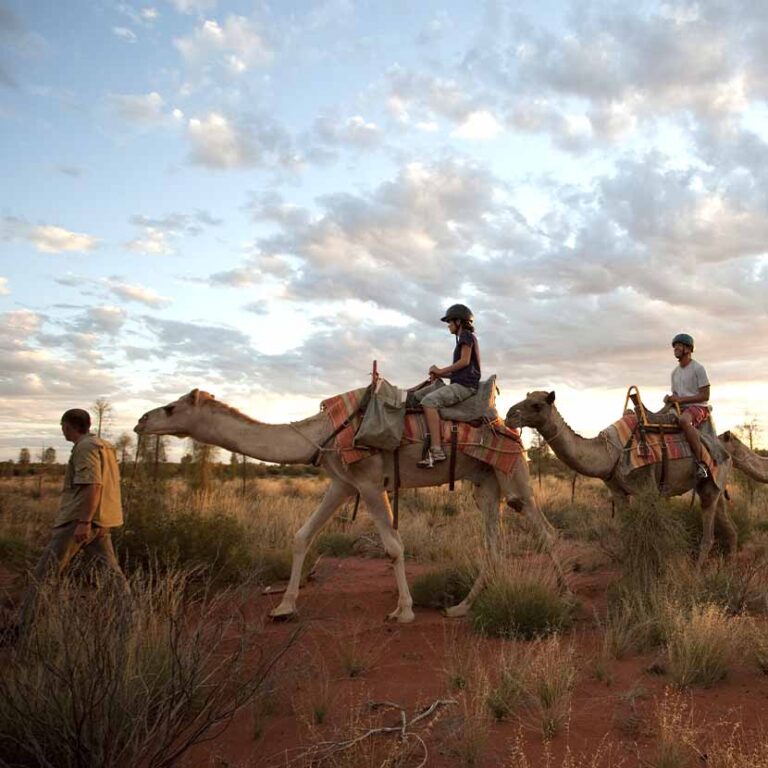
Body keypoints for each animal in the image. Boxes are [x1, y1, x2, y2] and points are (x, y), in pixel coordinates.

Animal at [135, 390, 560, 624]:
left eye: (170, 408)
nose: (140, 420)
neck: (323, 432)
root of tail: (508, 427)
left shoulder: (369, 482)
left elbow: (393, 547)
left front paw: (403, 611)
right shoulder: (342, 483)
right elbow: (302, 536)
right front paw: (283, 607)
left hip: (514, 474)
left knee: (546, 531)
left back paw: (558, 598)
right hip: (485, 483)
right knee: (494, 546)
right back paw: (461, 608)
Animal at [504, 392, 736, 568]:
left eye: (536, 405)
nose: (509, 415)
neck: (609, 453)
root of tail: (724, 450)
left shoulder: (648, 489)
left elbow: (653, 531)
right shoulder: (617, 491)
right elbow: (627, 532)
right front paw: (629, 563)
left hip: (712, 481)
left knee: (708, 533)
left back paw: (697, 571)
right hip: (714, 484)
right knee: (727, 523)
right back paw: (729, 563)